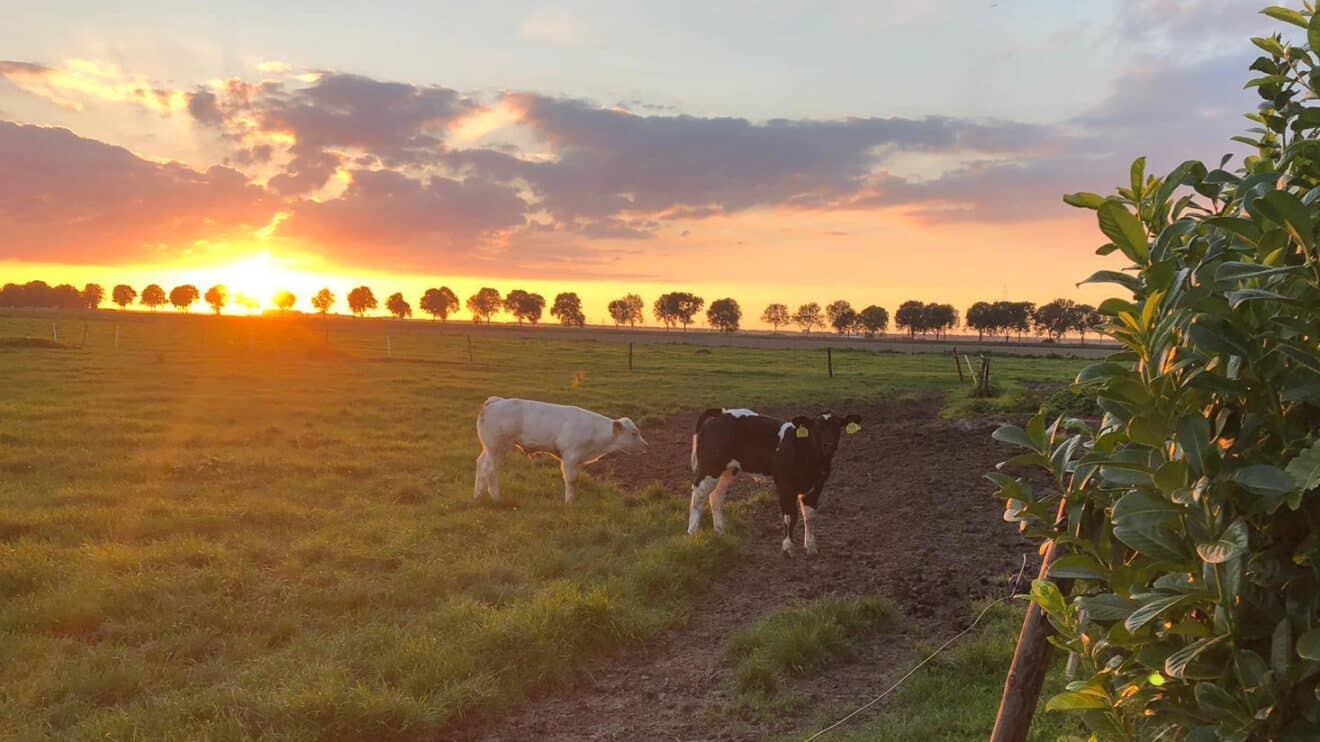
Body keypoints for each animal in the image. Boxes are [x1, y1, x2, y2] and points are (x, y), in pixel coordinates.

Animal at [686, 404, 860, 554]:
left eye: (837, 426)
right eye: (816, 428)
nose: (828, 444)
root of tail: (722, 412)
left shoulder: (816, 487)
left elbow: (809, 516)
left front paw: (811, 547)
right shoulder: (784, 485)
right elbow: (790, 516)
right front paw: (787, 548)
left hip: (728, 470)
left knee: (716, 496)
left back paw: (721, 532)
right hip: (709, 467)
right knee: (698, 498)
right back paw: (692, 533)